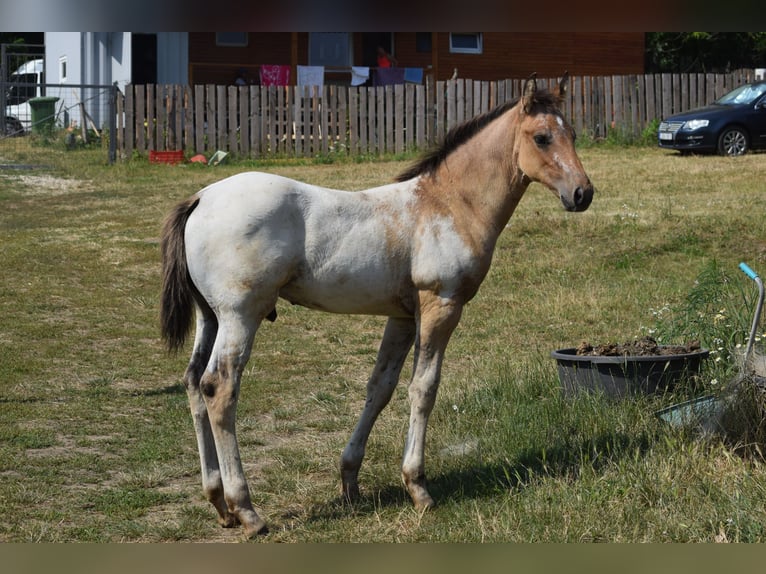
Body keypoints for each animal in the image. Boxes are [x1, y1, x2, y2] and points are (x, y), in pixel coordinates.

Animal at [160, 73, 592, 540]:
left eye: (572, 134)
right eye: (542, 137)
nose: (582, 193)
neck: (450, 203)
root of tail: (201, 198)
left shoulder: (401, 316)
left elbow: (379, 388)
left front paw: (350, 481)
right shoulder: (441, 305)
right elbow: (424, 388)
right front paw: (418, 488)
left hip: (210, 317)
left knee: (192, 382)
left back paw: (218, 502)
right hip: (240, 315)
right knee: (219, 388)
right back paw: (247, 510)